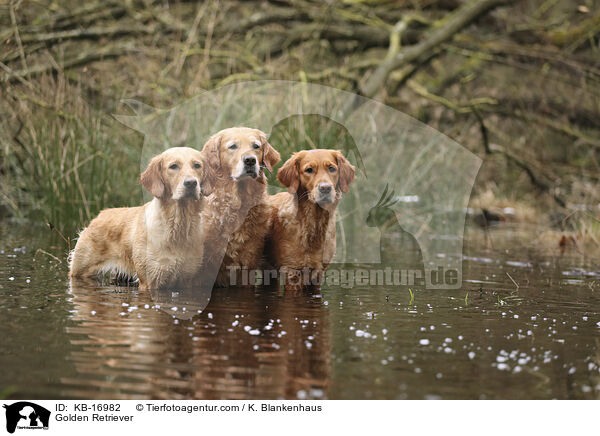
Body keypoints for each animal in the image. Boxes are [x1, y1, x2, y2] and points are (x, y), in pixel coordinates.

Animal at [69, 147, 214, 290]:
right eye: (173, 166)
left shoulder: (187, 280)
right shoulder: (150, 280)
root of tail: (99, 216)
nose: (191, 183)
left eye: (197, 165)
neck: (178, 225)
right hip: (80, 270)